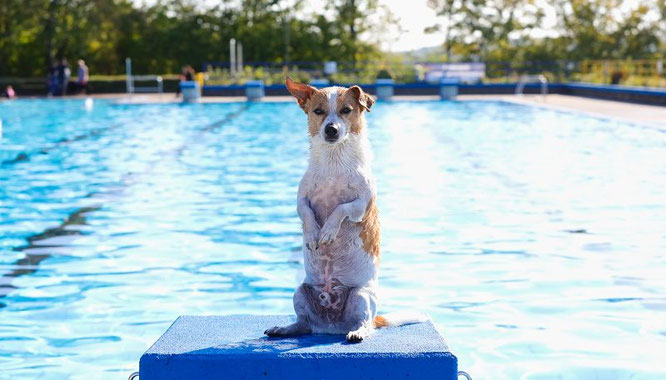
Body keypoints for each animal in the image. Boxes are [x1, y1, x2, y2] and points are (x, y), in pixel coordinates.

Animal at [262, 78, 422, 344]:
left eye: (346, 110)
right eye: (318, 111)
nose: (331, 129)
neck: (333, 163)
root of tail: (330, 327)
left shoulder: (360, 206)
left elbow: (340, 208)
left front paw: (327, 231)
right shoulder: (301, 200)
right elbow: (307, 214)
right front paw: (313, 234)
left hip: (360, 296)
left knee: (364, 324)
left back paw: (357, 332)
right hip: (301, 292)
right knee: (303, 324)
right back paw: (284, 329)